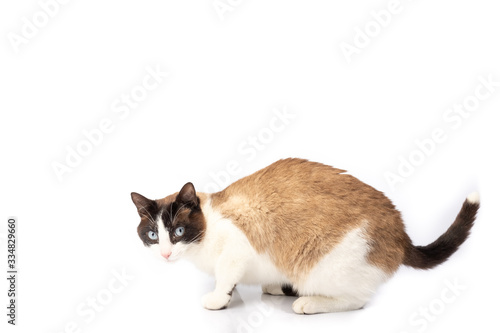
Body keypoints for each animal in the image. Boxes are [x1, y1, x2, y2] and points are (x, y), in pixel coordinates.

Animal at [131, 157, 478, 312]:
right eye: (153, 235)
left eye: (178, 231)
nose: (165, 253)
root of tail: (401, 233)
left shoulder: (235, 252)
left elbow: (225, 281)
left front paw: (218, 299)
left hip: (322, 267)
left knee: (357, 300)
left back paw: (308, 303)